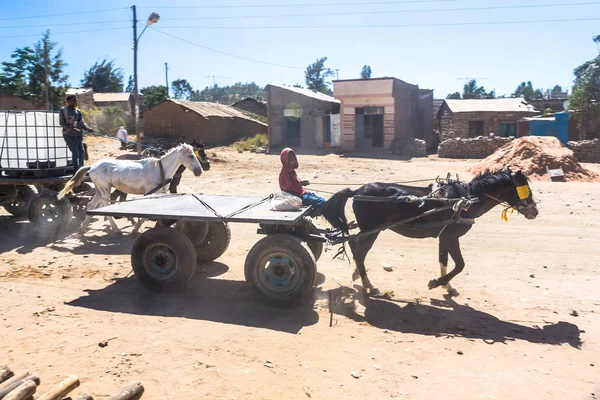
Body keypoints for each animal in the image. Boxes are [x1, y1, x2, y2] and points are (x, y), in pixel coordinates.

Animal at [59, 143, 204, 234]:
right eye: (191, 156)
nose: (200, 171)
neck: (160, 170)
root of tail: (92, 166)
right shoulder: (149, 194)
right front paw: (136, 228)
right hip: (105, 189)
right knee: (105, 206)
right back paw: (115, 229)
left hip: (100, 190)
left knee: (90, 205)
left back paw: (82, 228)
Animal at [324, 167, 540, 296]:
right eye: (526, 189)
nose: (535, 211)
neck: (466, 199)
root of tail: (357, 191)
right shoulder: (450, 236)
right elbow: (459, 265)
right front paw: (437, 282)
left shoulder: (446, 237)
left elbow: (445, 261)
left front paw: (447, 286)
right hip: (371, 230)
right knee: (359, 252)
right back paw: (368, 284)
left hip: (369, 230)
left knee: (356, 249)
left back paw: (359, 277)